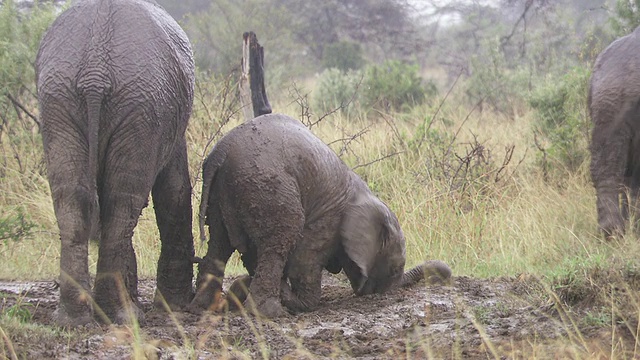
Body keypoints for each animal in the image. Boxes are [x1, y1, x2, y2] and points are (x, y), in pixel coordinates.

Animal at [34, 0, 194, 326]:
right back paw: (121, 316)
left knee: (77, 200)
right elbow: (174, 190)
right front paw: (175, 307)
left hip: (64, 102)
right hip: (137, 105)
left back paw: (74, 320)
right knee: (121, 204)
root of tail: (95, 71)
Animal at [189, 114, 450, 316]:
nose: (442, 276)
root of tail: (220, 152)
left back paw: (203, 307)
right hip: (267, 189)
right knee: (278, 243)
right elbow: (301, 263)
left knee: (218, 244)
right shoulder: (328, 221)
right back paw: (272, 313)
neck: (364, 196)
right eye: (396, 268)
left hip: (219, 195)